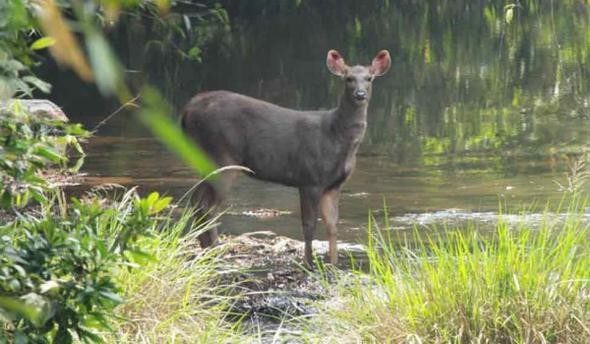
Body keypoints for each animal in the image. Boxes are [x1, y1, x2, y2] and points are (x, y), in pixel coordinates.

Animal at [183, 49, 390, 266]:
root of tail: (187, 110)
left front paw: (333, 264)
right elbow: (309, 225)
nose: (360, 94)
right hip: (221, 155)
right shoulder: (310, 178)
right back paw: (214, 249)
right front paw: (308, 263)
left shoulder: (333, 185)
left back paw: (207, 248)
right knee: (206, 204)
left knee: (196, 199)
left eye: (369, 78)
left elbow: (332, 225)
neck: (337, 136)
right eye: (348, 78)